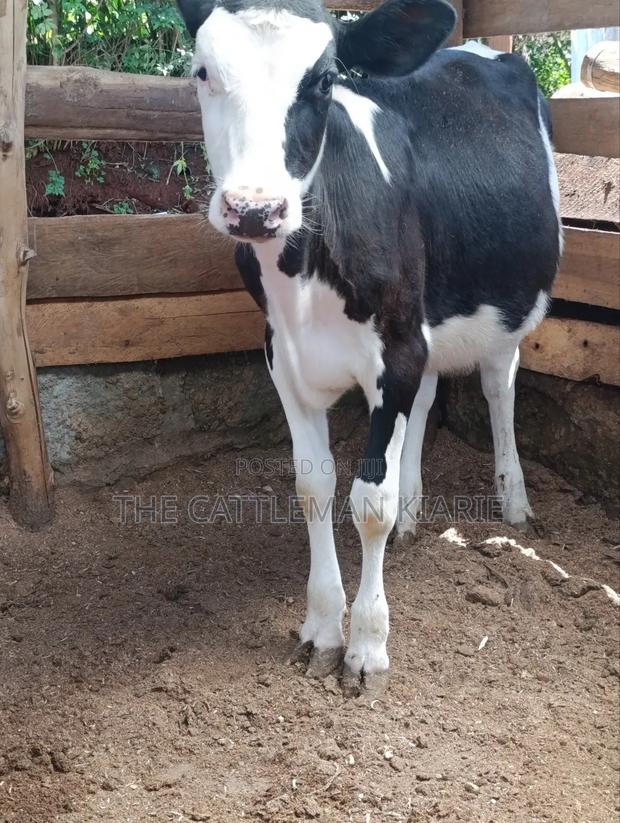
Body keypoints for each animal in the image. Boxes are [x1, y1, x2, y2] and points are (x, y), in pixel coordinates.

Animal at [176, 0, 561, 695]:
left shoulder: (397, 353)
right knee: (431, 398)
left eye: (325, 81)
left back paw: (514, 502)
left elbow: (368, 504)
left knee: (499, 385)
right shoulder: (283, 356)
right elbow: (314, 485)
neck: (304, 277)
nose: (255, 209)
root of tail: (478, 51)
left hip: (504, 312)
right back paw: (414, 510)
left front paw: (367, 648)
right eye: (203, 71)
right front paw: (322, 627)